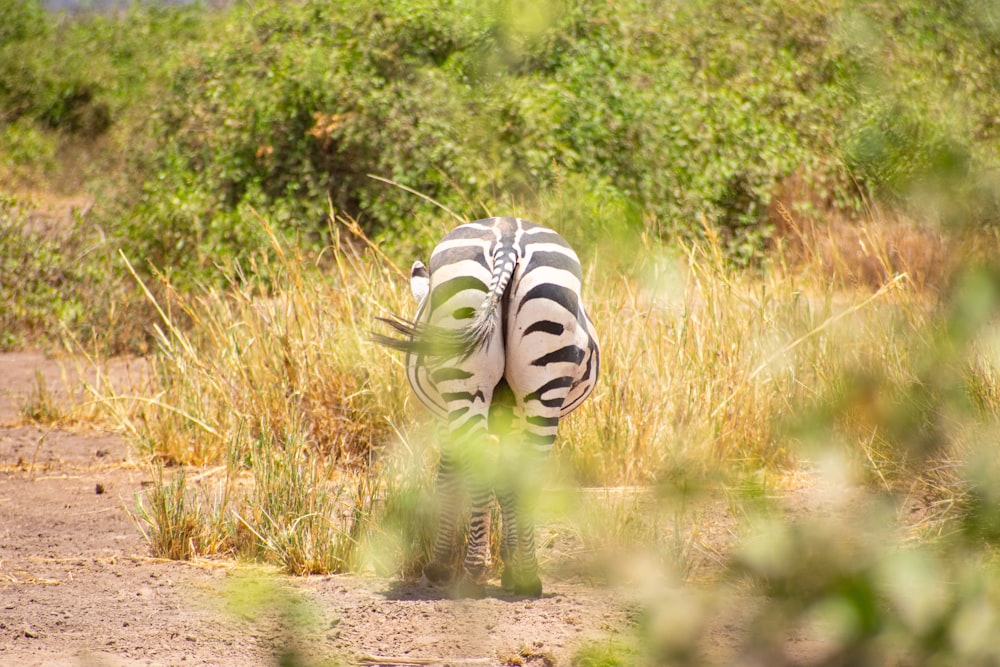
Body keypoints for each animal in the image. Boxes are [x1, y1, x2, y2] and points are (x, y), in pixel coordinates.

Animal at [372, 217, 596, 596]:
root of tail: (508, 236)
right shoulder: (508, 413)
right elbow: (507, 476)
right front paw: (510, 560)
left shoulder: (446, 419)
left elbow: (448, 476)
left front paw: (440, 566)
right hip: (543, 375)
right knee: (530, 465)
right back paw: (527, 575)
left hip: (462, 375)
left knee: (481, 454)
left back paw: (474, 569)